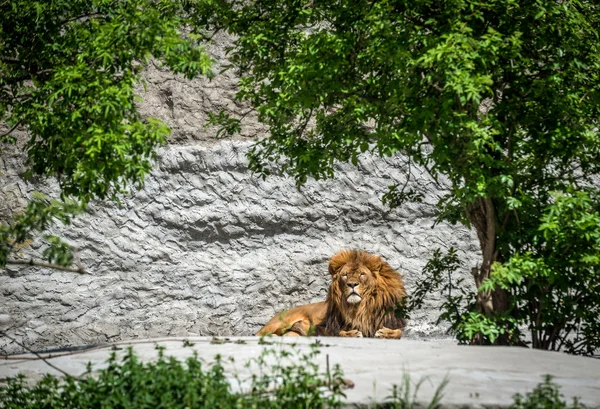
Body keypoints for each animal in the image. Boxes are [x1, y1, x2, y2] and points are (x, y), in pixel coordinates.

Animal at [255, 249, 406, 338]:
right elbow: (338, 332)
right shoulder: (328, 327)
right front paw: (351, 333)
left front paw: (387, 333)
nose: (352, 284)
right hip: (280, 323)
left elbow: (399, 332)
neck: (360, 307)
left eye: (362, 274)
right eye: (345, 275)